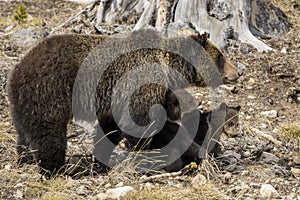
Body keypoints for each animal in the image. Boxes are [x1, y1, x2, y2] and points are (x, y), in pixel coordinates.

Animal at [7, 29, 241, 175]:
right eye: (221, 57)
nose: (237, 72)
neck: (170, 68)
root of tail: (18, 68)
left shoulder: (117, 100)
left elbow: (111, 128)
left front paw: (102, 158)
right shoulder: (139, 86)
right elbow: (141, 124)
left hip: (26, 102)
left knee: (25, 132)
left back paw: (24, 159)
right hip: (49, 91)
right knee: (49, 134)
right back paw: (54, 168)